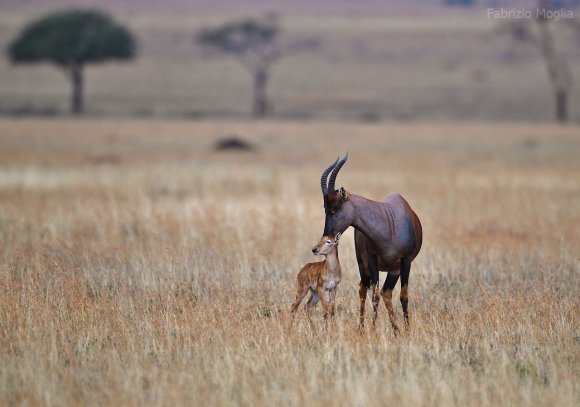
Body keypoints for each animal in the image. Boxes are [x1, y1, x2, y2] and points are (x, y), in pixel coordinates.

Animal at [320, 154, 424, 334]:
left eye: (335, 205)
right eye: (325, 207)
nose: (328, 236)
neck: (389, 222)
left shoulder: (406, 261)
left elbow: (403, 295)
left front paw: (407, 329)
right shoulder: (372, 259)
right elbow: (374, 295)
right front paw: (374, 329)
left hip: (394, 269)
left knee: (386, 292)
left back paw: (396, 329)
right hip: (364, 265)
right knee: (364, 289)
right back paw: (362, 328)